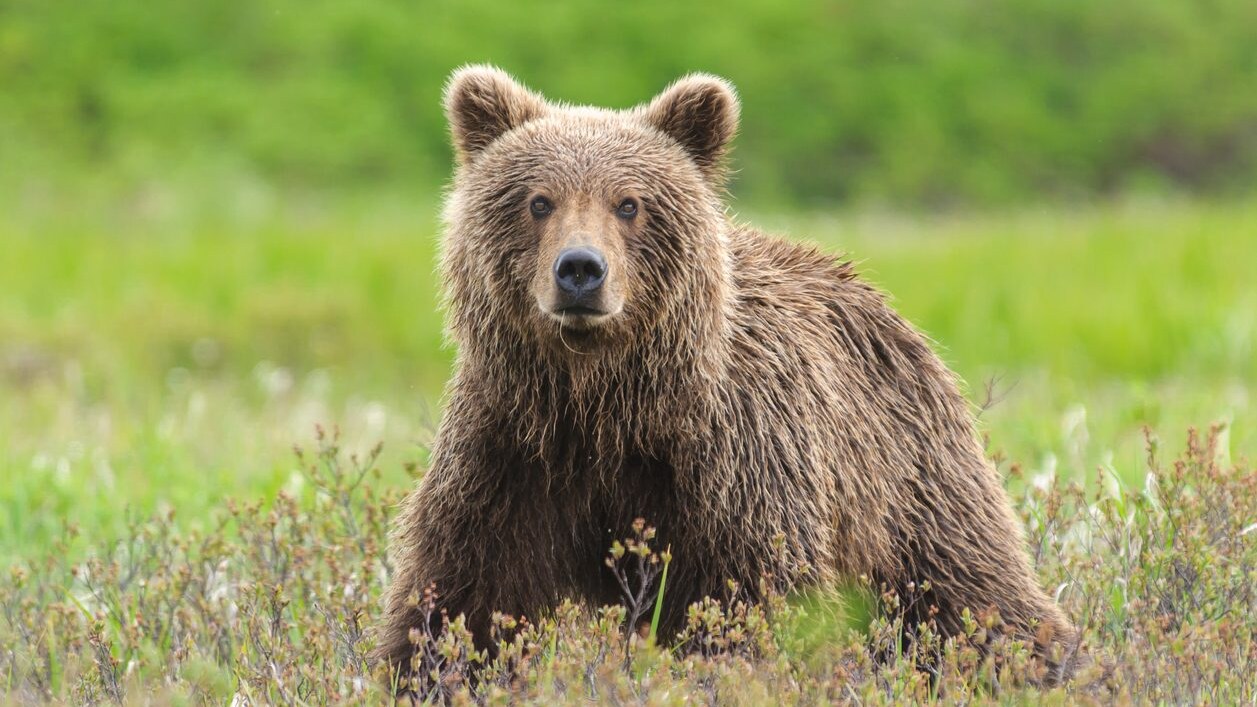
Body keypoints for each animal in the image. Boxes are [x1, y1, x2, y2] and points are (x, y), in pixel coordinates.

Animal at [377, 65, 1078, 687]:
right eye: (538, 201)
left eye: (628, 203)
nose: (580, 269)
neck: (605, 405)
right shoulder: (511, 452)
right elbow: (460, 600)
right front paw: (429, 671)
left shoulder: (733, 463)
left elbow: (755, 600)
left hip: (907, 474)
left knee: (970, 589)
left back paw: (1048, 663)